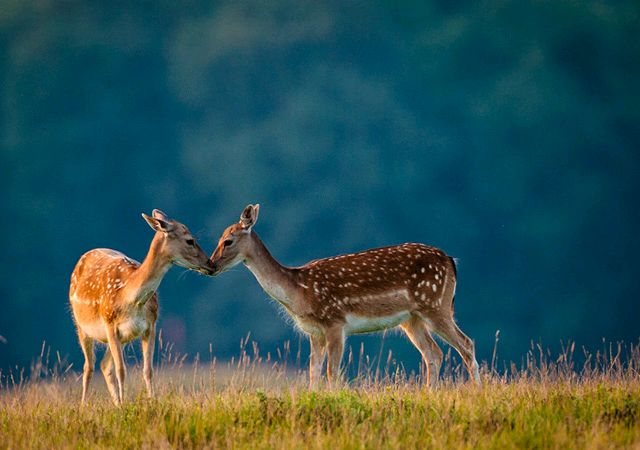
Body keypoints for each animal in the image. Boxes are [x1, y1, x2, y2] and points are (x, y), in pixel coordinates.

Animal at [69, 209, 214, 406]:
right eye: (190, 240)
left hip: (121, 337)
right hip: (81, 325)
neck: (130, 299)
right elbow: (122, 370)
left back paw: (116, 404)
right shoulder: (109, 323)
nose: (211, 264)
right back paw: (84, 406)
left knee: (104, 365)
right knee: (89, 366)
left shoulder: (150, 326)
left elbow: (148, 370)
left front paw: (150, 401)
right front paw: (125, 405)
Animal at [210, 206, 480, 388]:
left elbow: (332, 372)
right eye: (218, 238)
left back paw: (476, 390)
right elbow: (313, 371)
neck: (300, 290)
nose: (211, 265)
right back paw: (428, 392)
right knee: (434, 353)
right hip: (412, 319)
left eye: (228, 240)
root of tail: (450, 260)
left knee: (466, 344)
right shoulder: (314, 332)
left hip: (435, 304)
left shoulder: (335, 322)